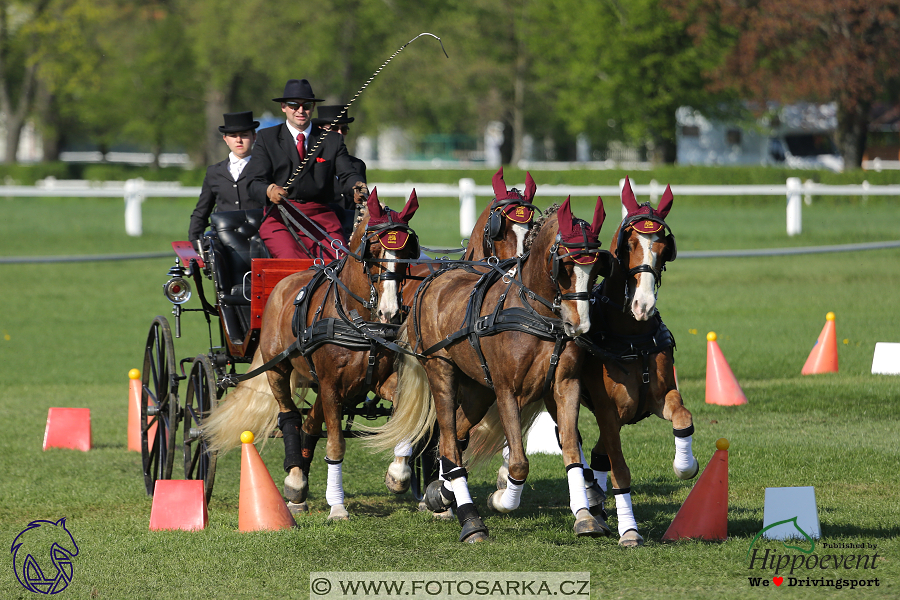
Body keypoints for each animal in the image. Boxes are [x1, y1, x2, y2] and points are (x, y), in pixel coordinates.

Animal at [364, 198, 612, 544]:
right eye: (564, 266)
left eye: (597, 267)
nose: (580, 325)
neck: (537, 313)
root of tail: (433, 280)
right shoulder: (508, 390)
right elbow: (519, 464)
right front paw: (501, 500)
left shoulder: (564, 386)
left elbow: (573, 453)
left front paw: (586, 515)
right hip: (441, 372)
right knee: (449, 441)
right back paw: (471, 521)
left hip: (477, 390)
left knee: (454, 436)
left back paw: (442, 492)